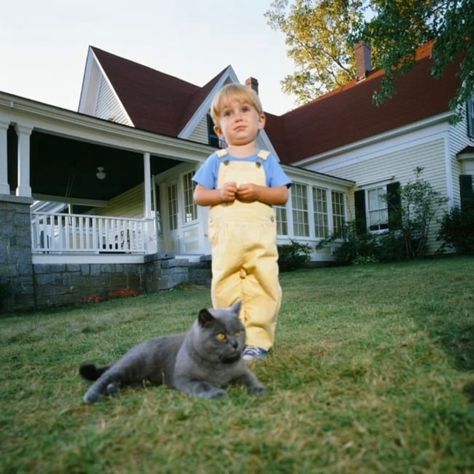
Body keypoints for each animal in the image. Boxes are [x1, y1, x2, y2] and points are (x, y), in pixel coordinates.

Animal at [78, 302, 266, 402]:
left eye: (239, 332)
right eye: (221, 335)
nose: (236, 344)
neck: (220, 366)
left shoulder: (242, 371)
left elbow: (250, 379)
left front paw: (259, 390)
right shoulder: (184, 378)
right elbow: (202, 384)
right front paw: (216, 393)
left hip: (140, 381)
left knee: (121, 381)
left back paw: (113, 390)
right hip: (131, 364)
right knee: (106, 376)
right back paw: (92, 396)